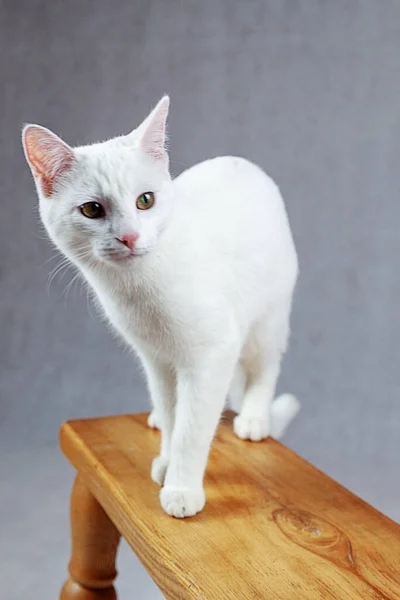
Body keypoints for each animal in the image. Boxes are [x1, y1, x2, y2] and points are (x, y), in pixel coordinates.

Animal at [21, 97, 296, 516]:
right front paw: (167, 461)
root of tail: (243, 163)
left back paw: (253, 418)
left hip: (267, 318)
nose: (129, 236)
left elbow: (191, 428)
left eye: (145, 201)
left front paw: (182, 488)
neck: (138, 290)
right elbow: (171, 414)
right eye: (92, 210)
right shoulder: (156, 359)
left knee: (264, 365)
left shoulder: (213, 353)